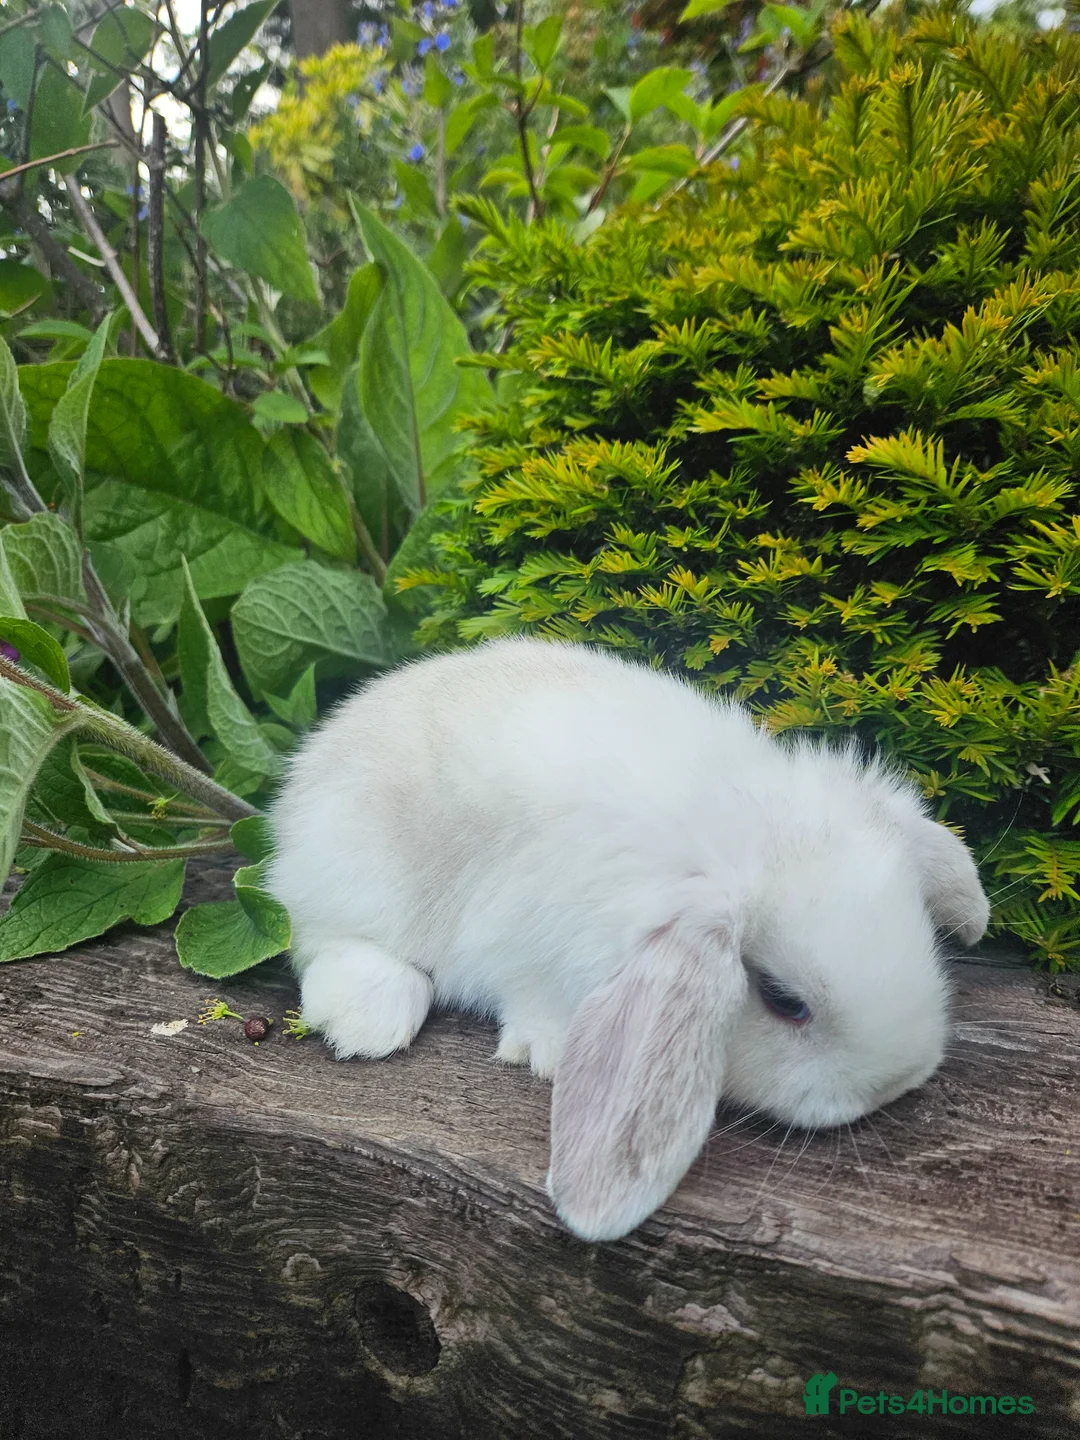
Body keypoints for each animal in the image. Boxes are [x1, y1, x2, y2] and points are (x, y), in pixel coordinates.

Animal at [266, 636, 990, 1242]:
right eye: (785, 1001)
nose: (896, 1085)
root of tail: (301, 783)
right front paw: (548, 1050)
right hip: (355, 880)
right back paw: (368, 1016)